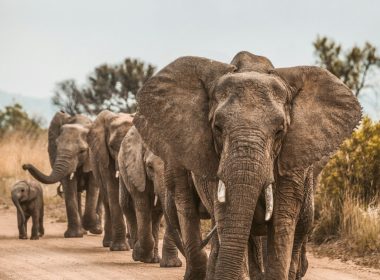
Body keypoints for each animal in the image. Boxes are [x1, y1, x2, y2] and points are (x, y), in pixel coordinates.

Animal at [87, 110, 134, 250]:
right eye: (112, 146)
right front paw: (120, 248)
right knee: (107, 200)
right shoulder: (104, 156)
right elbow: (113, 190)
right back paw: (108, 243)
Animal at [119, 125, 183, 266]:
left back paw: (153, 260)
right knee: (127, 206)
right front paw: (139, 254)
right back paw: (137, 253)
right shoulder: (136, 170)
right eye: (149, 166)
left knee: (156, 214)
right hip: (122, 171)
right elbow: (142, 205)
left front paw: (171, 265)